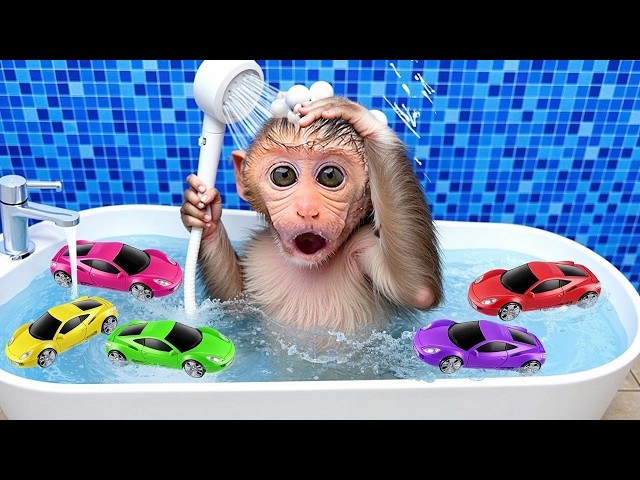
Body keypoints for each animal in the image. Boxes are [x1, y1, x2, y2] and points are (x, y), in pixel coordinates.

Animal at [181, 96, 443, 342]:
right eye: (283, 175)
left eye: (330, 176)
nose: (307, 209)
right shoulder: (256, 251)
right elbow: (235, 300)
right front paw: (203, 212)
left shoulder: (363, 245)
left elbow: (417, 289)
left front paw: (364, 120)